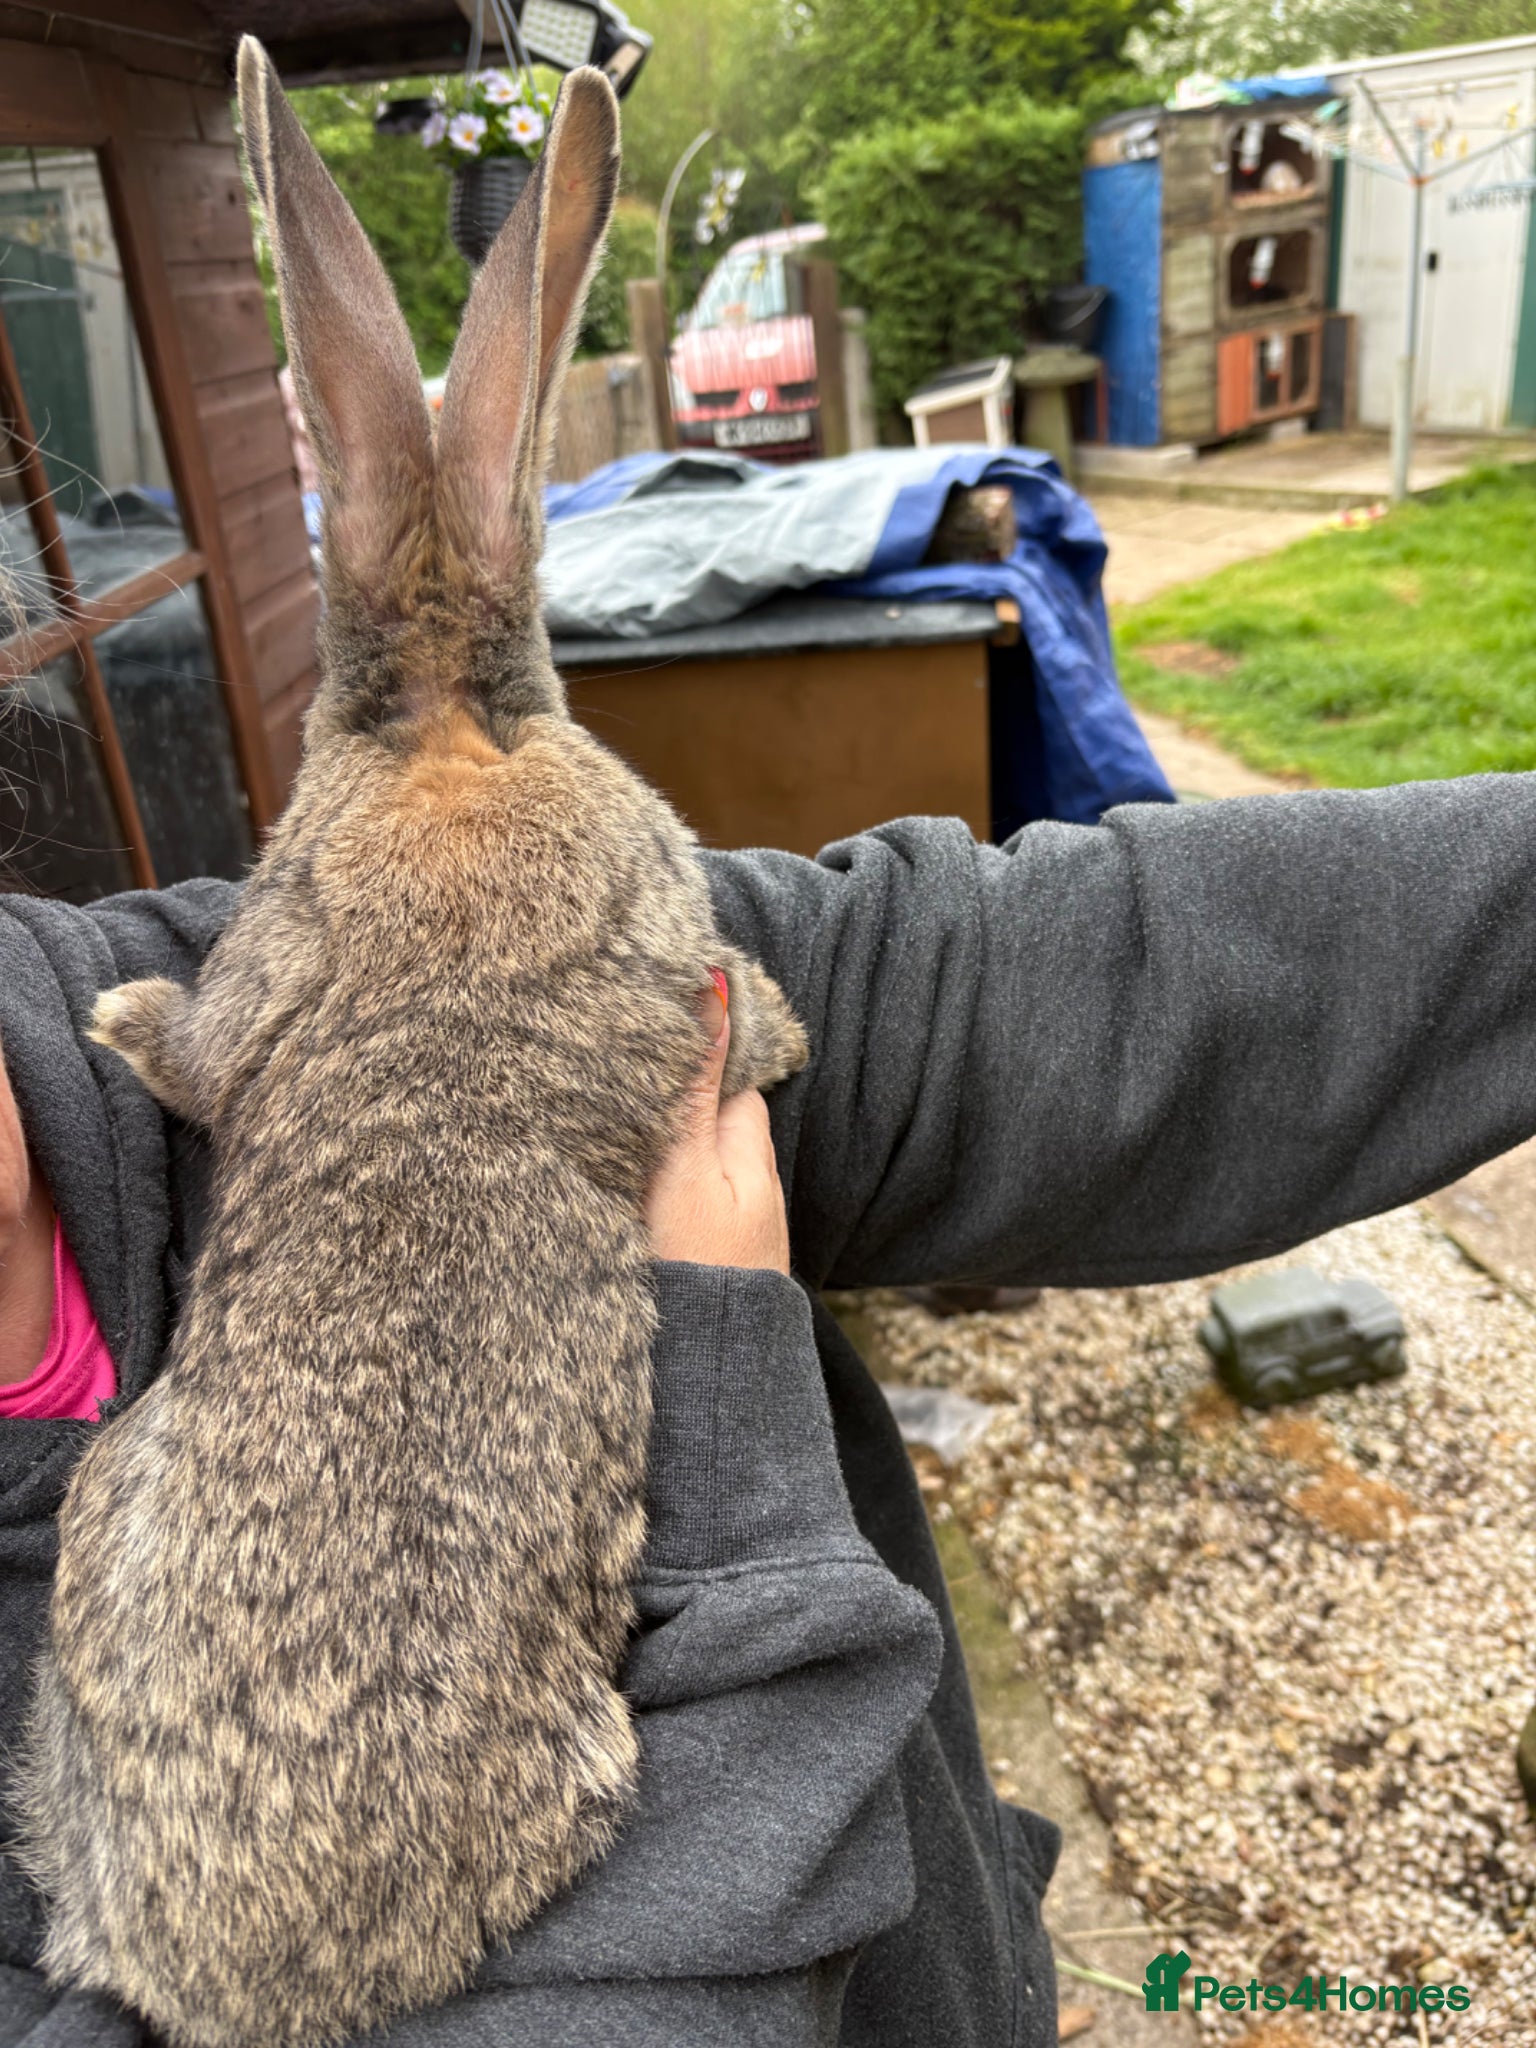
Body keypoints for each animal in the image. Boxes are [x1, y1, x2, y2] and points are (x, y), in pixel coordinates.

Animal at [14, 37, 807, 2048]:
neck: (456, 724)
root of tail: (238, 1969)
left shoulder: (279, 944)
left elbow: (205, 1046)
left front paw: (120, 1018)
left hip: (110, 1494)